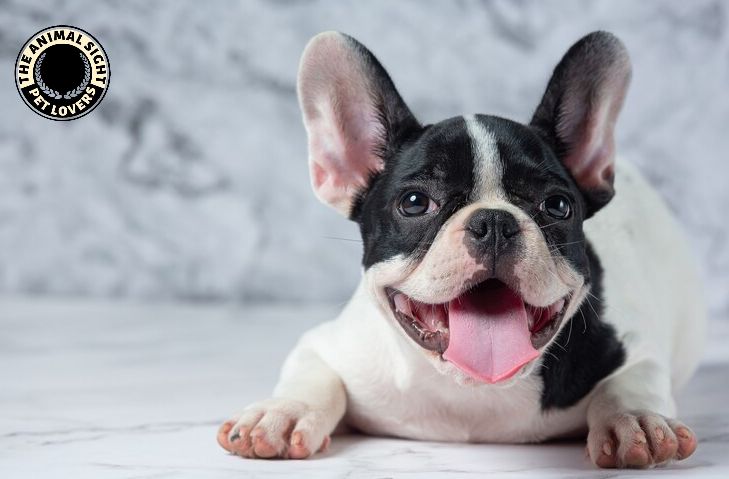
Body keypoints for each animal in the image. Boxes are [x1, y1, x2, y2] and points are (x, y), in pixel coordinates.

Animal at [216, 29, 704, 468]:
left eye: (558, 205)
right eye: (415, 202)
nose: (494, 222)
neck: (473, 388)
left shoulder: (634, 350)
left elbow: (629, 384)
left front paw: (634, 421)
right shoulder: (328, 345)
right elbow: (310, 375)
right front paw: (281, 413)